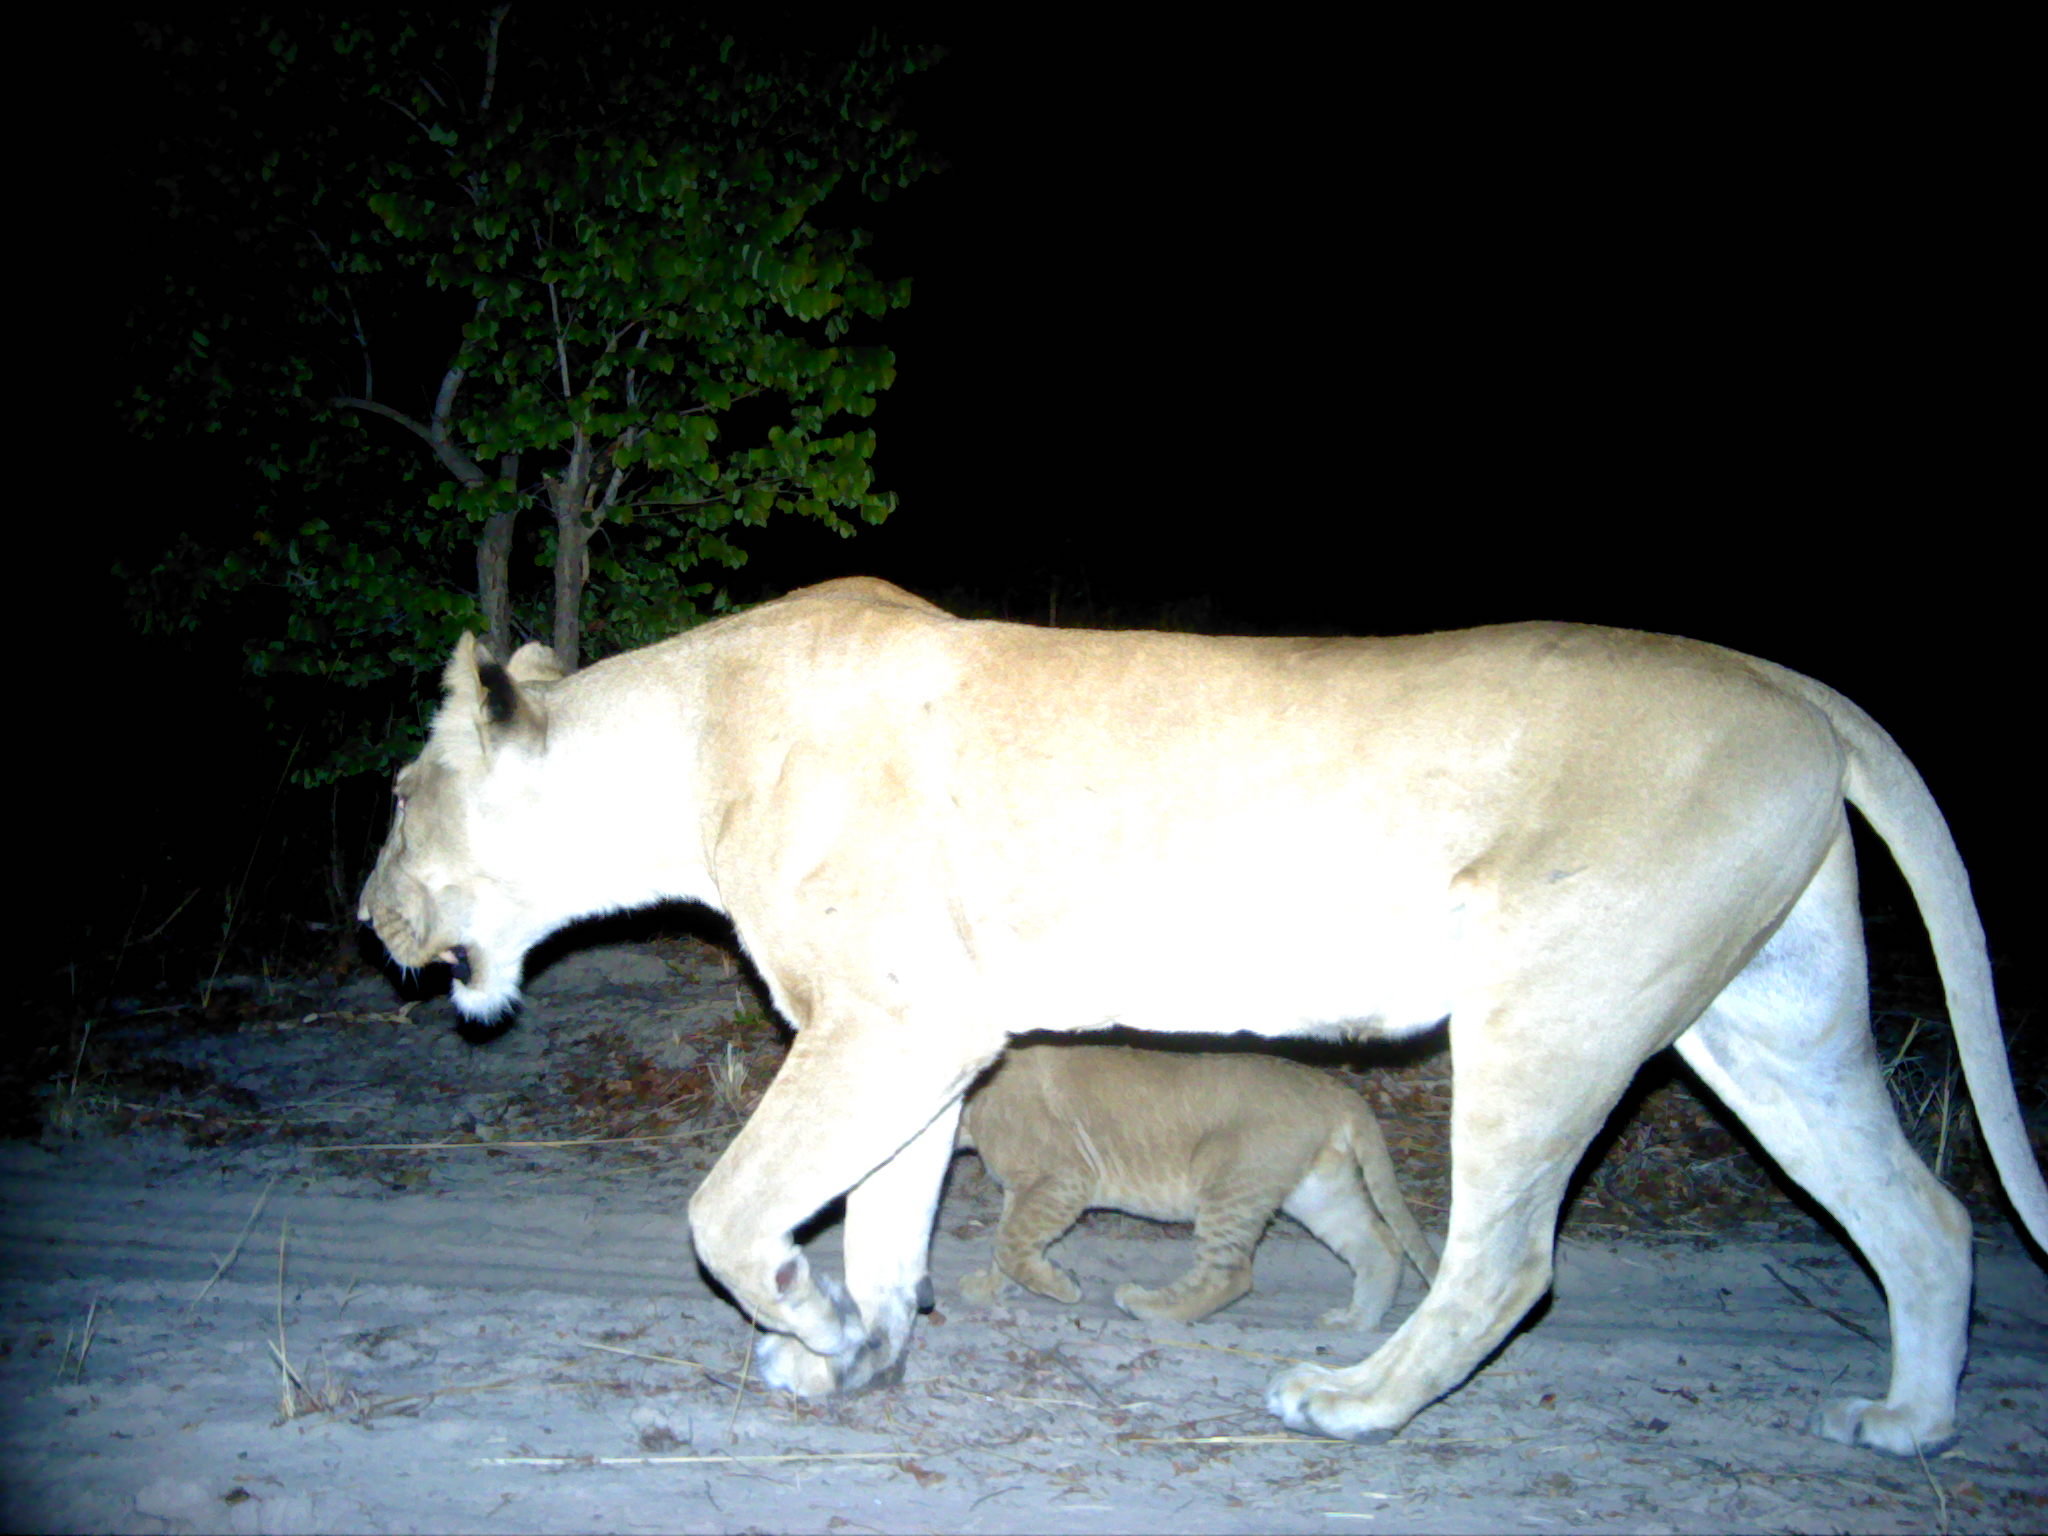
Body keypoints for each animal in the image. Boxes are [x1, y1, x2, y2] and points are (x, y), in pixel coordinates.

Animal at [956, 1042, 1438, 1328]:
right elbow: (1007, 1241)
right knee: (1380, 1245)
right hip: (1318, 1192)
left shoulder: (1065, 1177)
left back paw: (1149, 1306)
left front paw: (1060, 1287)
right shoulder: (1026, 1188)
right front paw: (990, 1287)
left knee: (1231, 1274)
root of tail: (1336, 1091)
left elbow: (1010, 1242)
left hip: (1231, 1181)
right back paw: (1355, 1320)